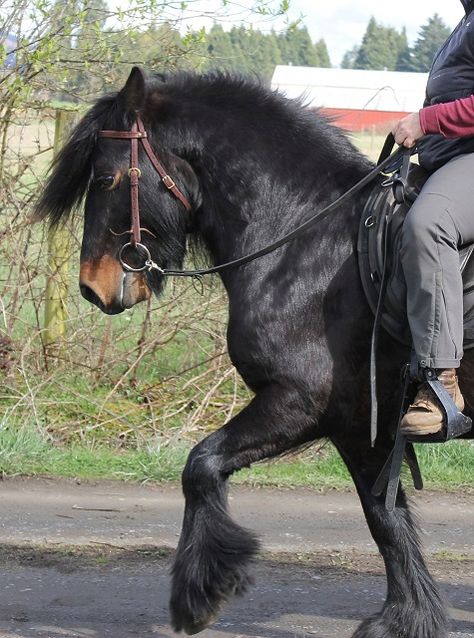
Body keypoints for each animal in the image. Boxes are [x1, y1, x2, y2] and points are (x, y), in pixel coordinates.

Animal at [36, 67, 470, 636]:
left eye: (106, 179)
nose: (92, 287)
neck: (309, 243)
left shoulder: (302, 404)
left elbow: (200, 465)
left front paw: (199, 595)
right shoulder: (359, 423)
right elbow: (386, 516)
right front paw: (408, 617)